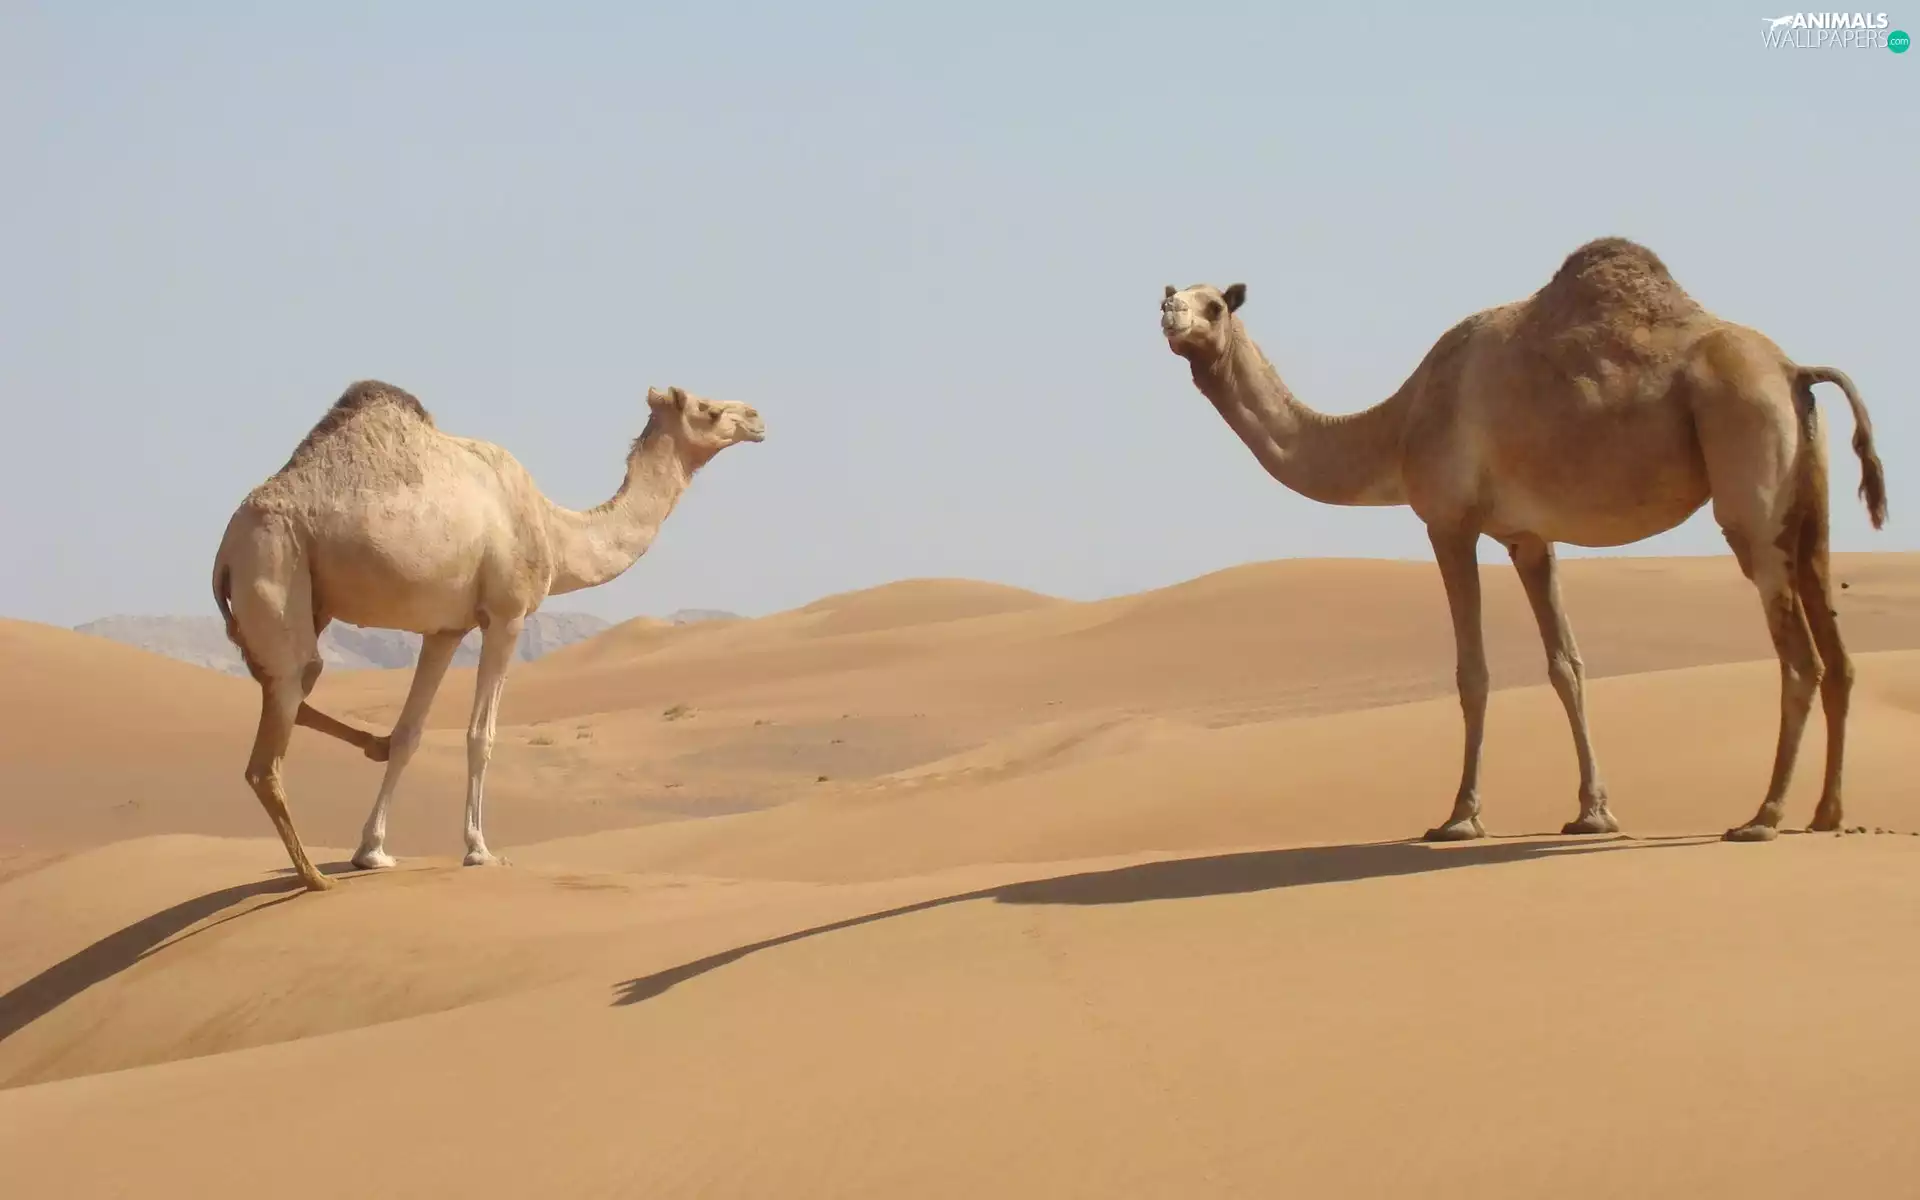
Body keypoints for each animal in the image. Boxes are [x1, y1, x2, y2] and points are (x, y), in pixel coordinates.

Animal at [212, 380, 765, 890]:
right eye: (708, 409)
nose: (757, 417)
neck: (554, 530)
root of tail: (224, 553)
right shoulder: (507, 613)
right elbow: (482, 733)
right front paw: (479, 849)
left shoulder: (445, 628)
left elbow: (412, 733)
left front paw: (372, 851)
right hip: (275, 560)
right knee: (272, 741)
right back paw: (313, 878)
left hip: (308, 603)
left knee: (293, 686)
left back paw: (369, 750)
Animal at [1160, 237, 1887, 843]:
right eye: (1171, 294)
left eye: (1215, 305)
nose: (1171, 314)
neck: (1398, 426)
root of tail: (1795, 372)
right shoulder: (1528, 536)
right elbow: (1566, 663)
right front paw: (1593, 813)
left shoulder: (1448, 521)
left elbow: (1473, 671)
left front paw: (1459, 817)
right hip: (1808, 508)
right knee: (1838, 649)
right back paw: (1828, 813)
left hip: (1748, 471)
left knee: (1799, 655)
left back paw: (1762, 817)